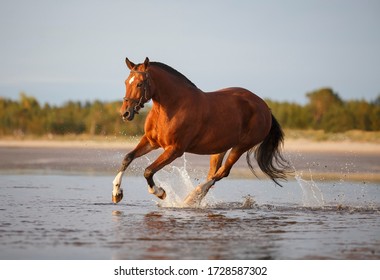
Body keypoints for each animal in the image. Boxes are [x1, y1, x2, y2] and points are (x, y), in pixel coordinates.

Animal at [111, 57, 290, 206]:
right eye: (126, 82)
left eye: (140, 83)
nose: (125, 113)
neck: (172, 106)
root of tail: (265, 108)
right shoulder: (151, 141)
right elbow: (127, 158)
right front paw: (116, 193)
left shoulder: (174, 150)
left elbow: (148, 171)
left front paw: (160, 193)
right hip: (220, 148)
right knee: (214, 174)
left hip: (241, 147)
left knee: (222, 173)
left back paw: (190, 198)